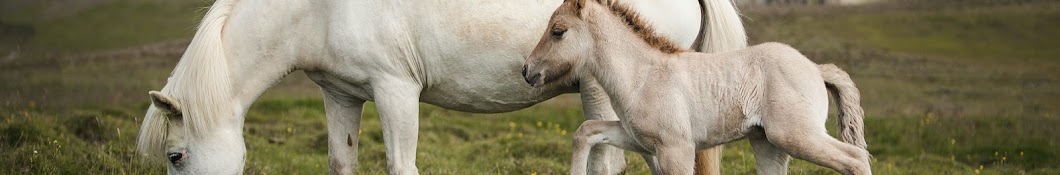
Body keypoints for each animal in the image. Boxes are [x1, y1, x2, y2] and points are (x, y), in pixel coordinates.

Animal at [134, 0, 746, 173]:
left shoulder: (395, 91)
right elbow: (342, 163)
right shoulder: (341, 96)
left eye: (175, 155)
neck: (315, 9)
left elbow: (401, 165)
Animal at [523, 0, 877, 173]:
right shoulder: (638, 139)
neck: (643, 75)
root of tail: (816, 68)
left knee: (856, 158)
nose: (528, 71)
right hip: (768, 144)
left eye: (557, 31)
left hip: (795, 135)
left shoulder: (677, 148)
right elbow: (587, 131)